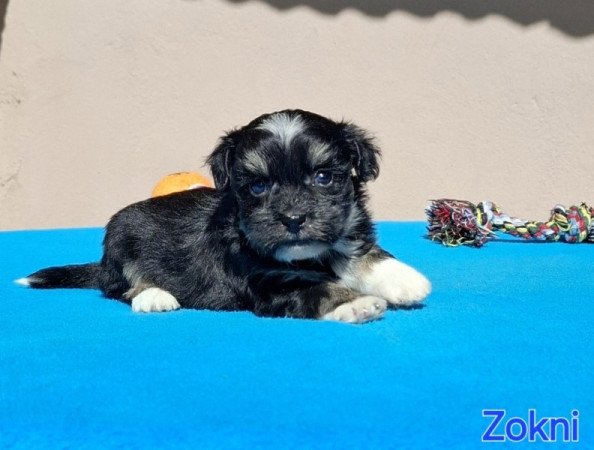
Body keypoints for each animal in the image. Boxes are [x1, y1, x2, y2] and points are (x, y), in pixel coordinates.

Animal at [16, 109, 428, 324]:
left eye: (324, 177)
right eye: (258, 186)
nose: (294, 219)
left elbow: (358, 253)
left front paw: (404, 279)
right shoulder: (268, 283)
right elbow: (316, 287)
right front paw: (354, 304)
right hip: (119, 241)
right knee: (122, 287)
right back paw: (154, 295)